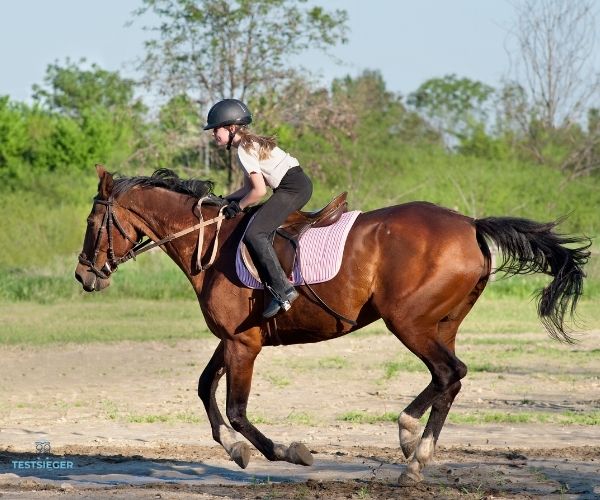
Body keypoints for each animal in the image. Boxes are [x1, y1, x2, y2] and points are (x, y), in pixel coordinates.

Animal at [75, 166, 592, 482]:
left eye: (92, 223)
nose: (83, 276)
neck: (209, 243)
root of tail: (470, 223)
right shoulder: (235, 339)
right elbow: (205, 388)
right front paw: (234, 450)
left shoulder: (243, 344)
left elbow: (237, 409)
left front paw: (283, 452)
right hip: (441, 324)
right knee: (450, 379)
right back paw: (413, 449)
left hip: (409, 322)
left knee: (450, 373)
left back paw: (412, 449)